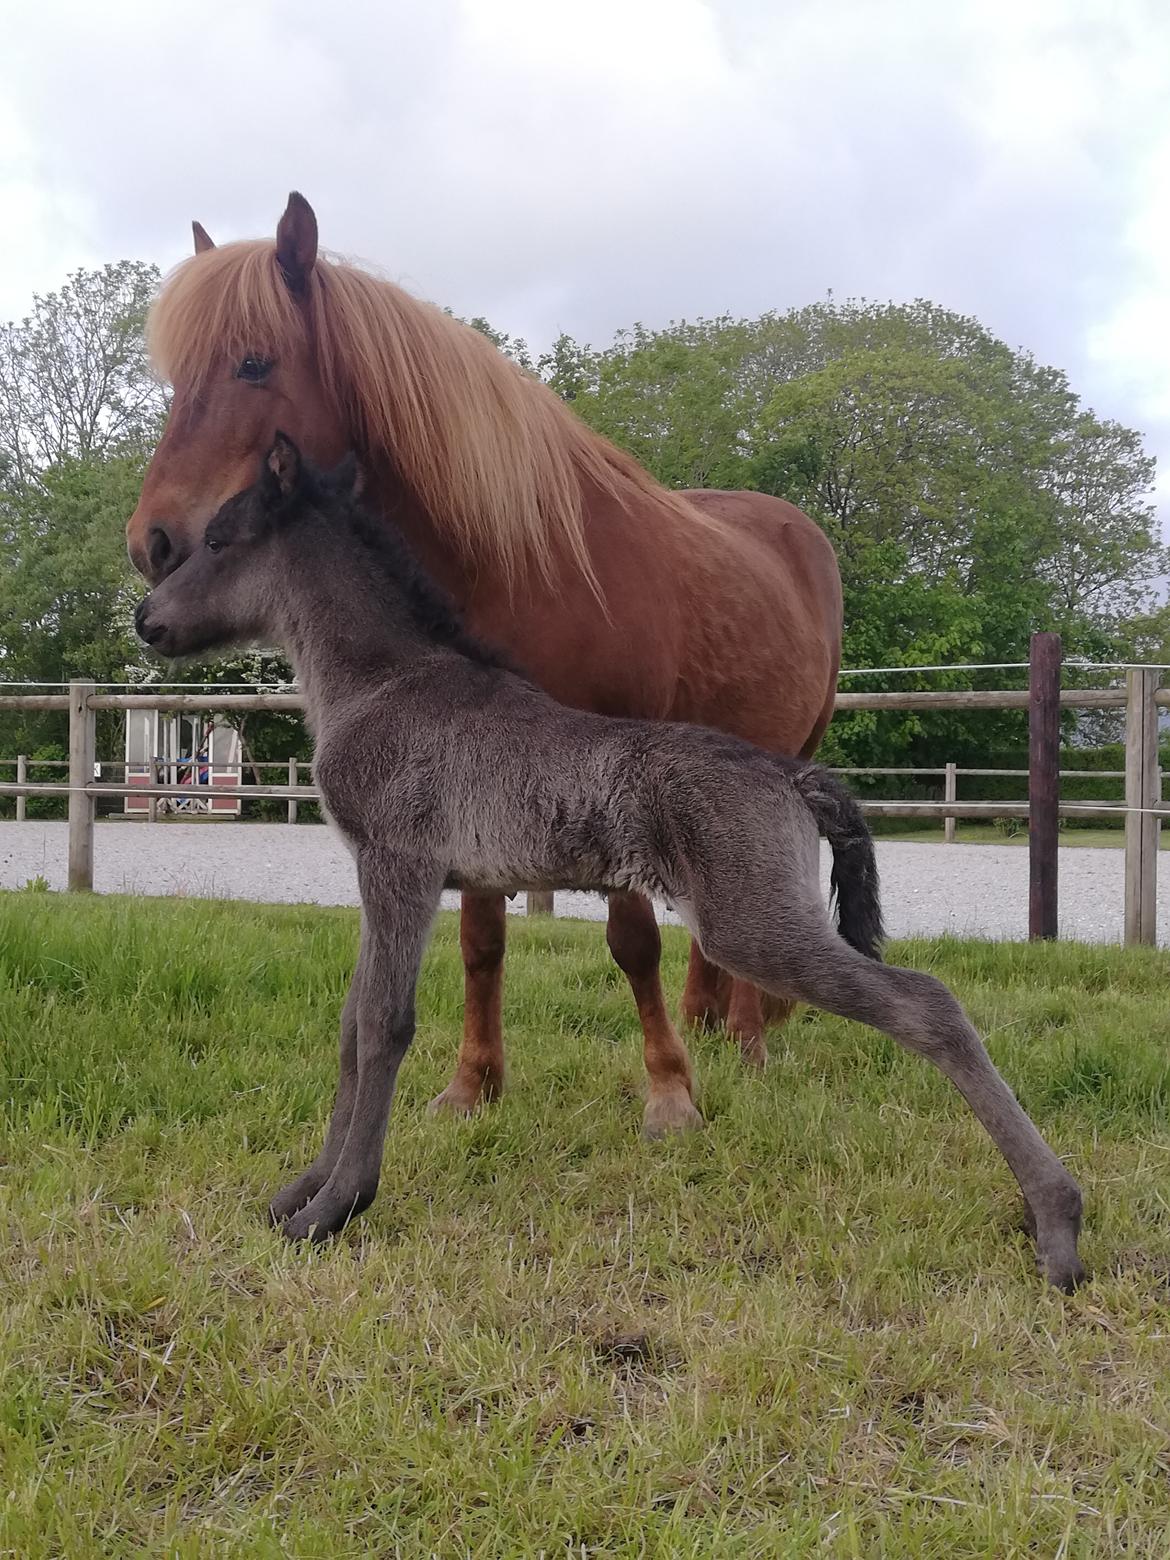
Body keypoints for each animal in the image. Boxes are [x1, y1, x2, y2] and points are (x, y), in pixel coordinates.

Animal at [127, 191, 842, 1135]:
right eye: (176, 378)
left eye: (253, 362)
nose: (152, 543)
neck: (519, 561)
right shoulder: (473, 773)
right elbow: (480, 939)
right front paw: (472, 1086)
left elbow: (631, 941)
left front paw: (668, 1094)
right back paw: (707, 1019)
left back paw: (749, 1040)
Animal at [139, 439, 1092, 1291]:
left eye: (219, 540)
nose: (148, 620)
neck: (386, 683)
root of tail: (788, 773)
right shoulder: (388, 881)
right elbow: (349, 1023)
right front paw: (300, 1191)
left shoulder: (398, 868)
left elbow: (384, 1023)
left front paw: (336, 1208)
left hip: (753, 925)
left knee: (928, 1005)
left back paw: (1059, 1225)